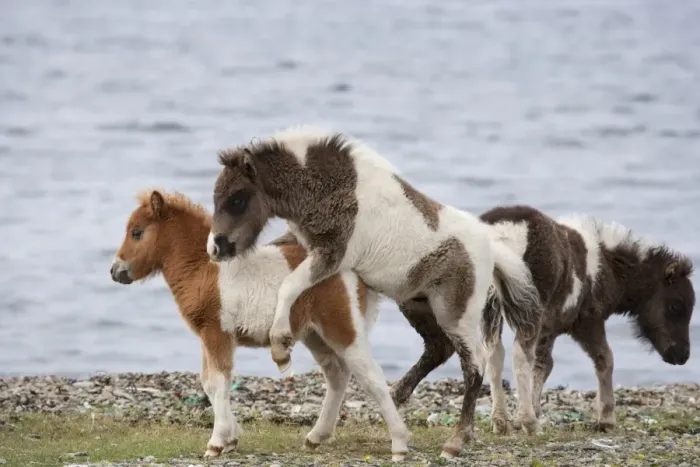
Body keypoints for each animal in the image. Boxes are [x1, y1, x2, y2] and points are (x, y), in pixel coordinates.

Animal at [109, 189, 411, 461]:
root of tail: (352, 271)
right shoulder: (208, 335)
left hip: (341, 327)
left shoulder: (217, 332)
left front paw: (217, 443)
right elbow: (208, 383)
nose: (115, 271)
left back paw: (399, 444)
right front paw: (231, 438)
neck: (203, 269)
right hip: (313, 334)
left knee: (371, 376)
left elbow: (218, 382)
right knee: (337, 374)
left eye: (137, 232)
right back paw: (317, 436)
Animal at [206, 125, 541, 458]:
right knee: (438, 348)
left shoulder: (330, 255)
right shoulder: (305, 245)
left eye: (237, 199)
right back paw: (400, 395)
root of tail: (492, 249)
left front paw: (280, 347)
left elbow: (288, 286)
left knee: (474, 366)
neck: (331, 185)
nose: (215, 248)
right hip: (416, 303)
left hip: (456, 314)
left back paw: (455, 441)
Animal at [390, 205, 695, 435]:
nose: (682, 356)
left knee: (494, 353)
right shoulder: (587, 321)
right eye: (677, 306)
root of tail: (500, 233)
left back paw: (501, 421)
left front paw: (533, 409)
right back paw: (526, 422)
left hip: (491, 304)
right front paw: (606, 419)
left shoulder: (550, 328)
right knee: (516, 352)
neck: (607, 268)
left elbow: (543, 365)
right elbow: (604, 359)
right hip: (526, 306)